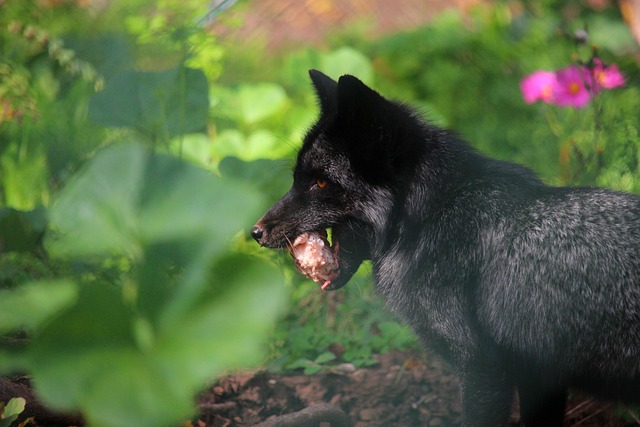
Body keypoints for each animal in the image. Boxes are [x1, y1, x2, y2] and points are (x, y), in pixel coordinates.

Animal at [250, 69, 640, 426]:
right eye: (296, 179)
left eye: (319, 183)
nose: (255, 232)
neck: (428, 218)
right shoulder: (537, 373)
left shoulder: (483, 367)